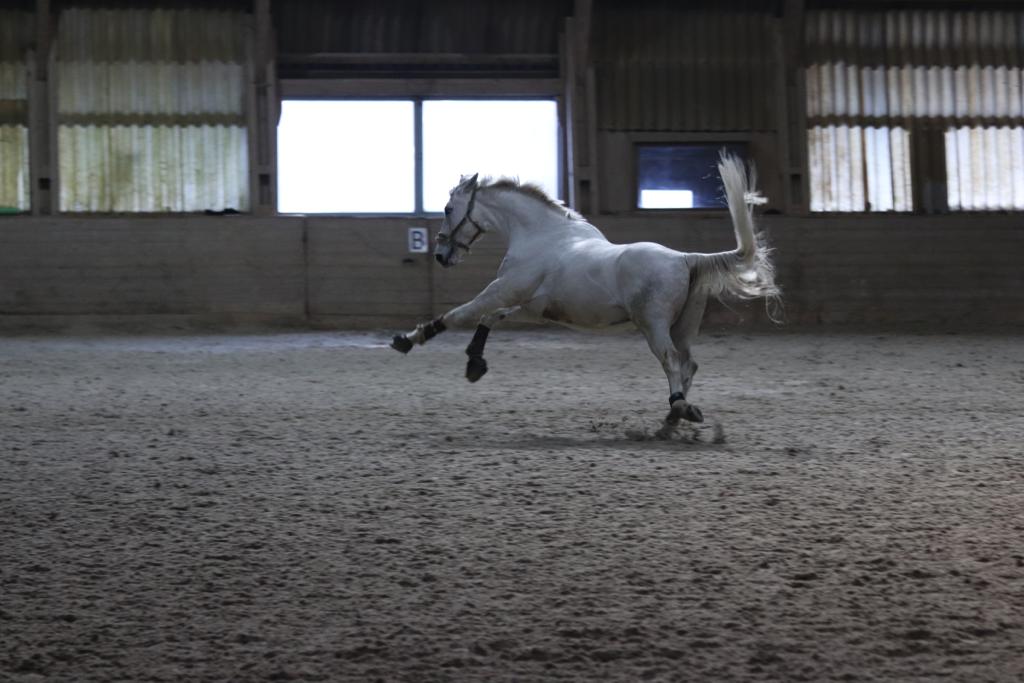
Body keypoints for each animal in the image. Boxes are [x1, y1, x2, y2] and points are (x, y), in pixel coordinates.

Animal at [390, 152, 780, 427]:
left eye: (447, 208)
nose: (441, 255)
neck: (540, 235)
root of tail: (685, 259)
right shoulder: (531, 307)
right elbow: (490, 317)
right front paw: (475, 363)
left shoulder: (503, 290)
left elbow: (462, 314)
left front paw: (408, 339)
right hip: (682, 327)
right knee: (689, 363)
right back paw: (675, 415)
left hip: (653, 325)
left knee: (671, 360)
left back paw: (680, 407)